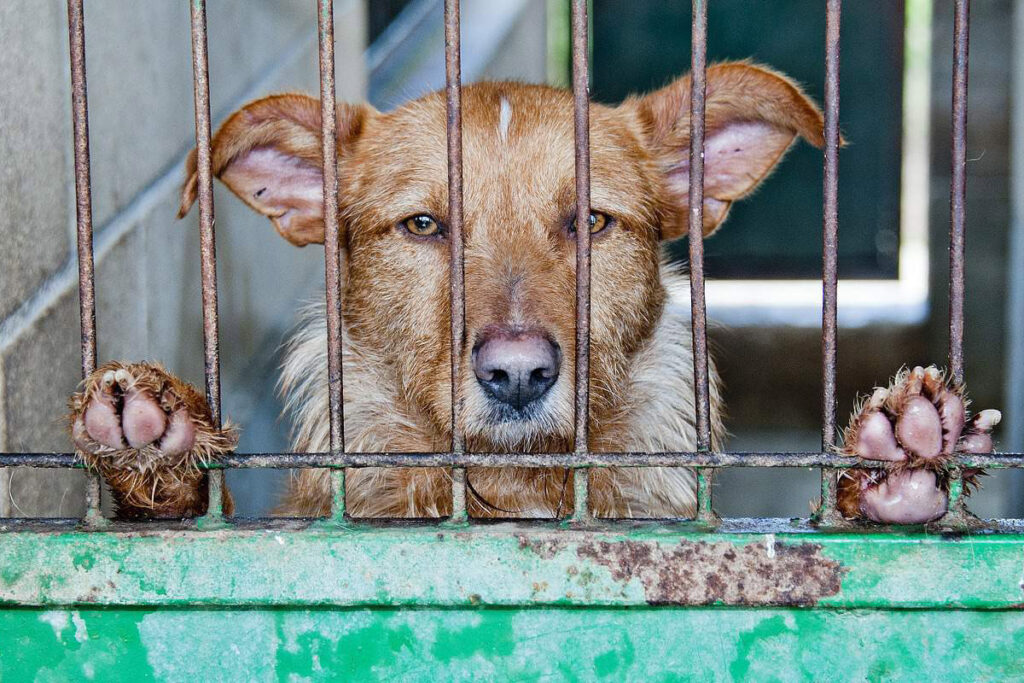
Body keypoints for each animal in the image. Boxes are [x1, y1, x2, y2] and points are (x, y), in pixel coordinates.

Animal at [68, 62, 995, 524]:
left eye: (590, 221)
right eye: (423, 225)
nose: (517, 374)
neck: (515, 491)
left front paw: (890, 468)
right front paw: (158, 449)